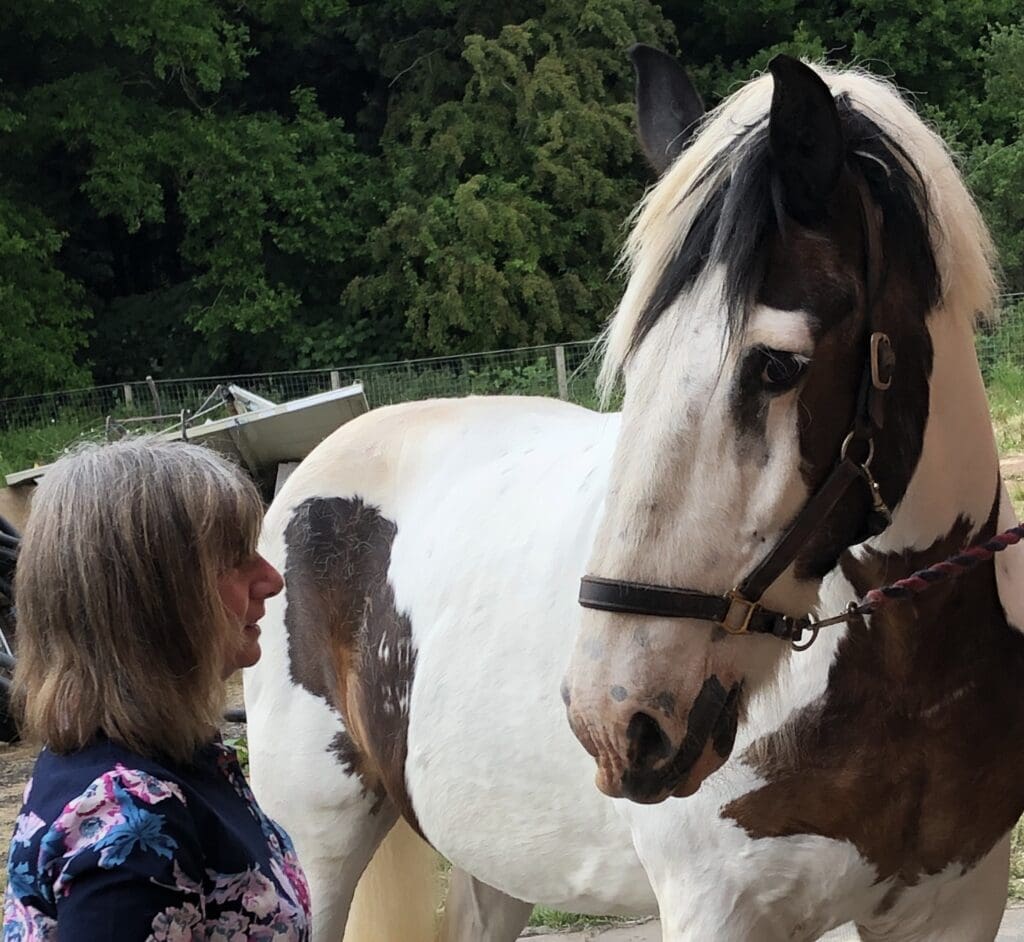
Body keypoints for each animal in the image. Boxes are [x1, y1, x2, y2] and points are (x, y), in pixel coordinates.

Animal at [244, 45, 1024, 942]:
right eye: (640, 363)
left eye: (776, 366)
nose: (615, 720)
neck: (907, 670)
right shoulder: (717, 907)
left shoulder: (954, 900)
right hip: (317, 846)